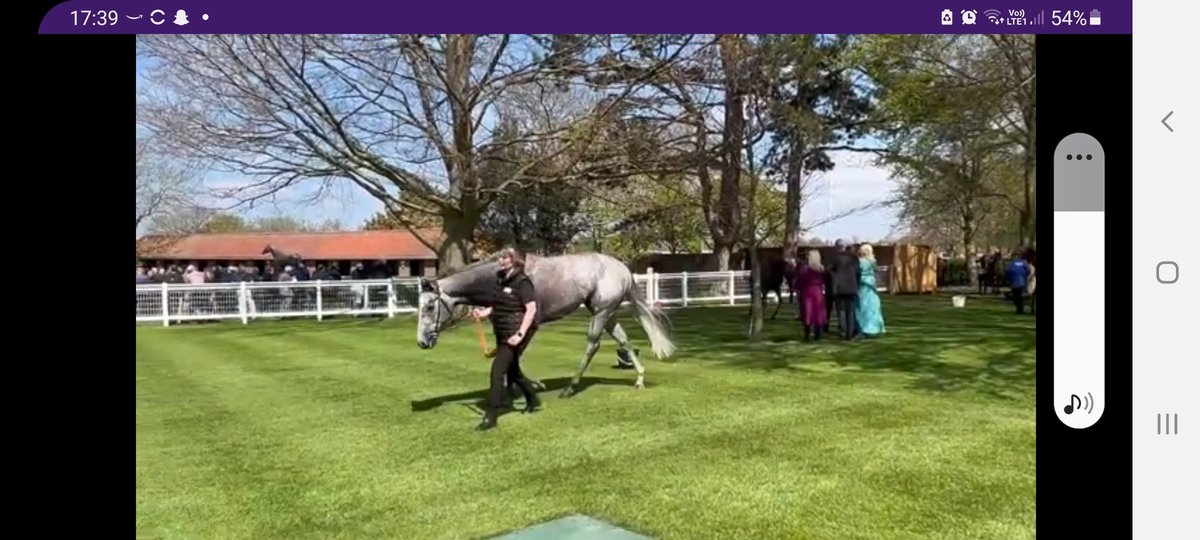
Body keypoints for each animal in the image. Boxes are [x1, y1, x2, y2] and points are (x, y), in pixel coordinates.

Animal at [415, 252, 677, 398]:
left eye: (429, 307)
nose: (421, 342)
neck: (504, 281)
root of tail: (622, 268)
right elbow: (508, 354)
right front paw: (516, 386)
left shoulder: (529, 325)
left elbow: (515, 354)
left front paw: (528, 386)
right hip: (606, 312)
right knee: (624, 341)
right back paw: (639, 379)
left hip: (602, 312)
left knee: (593, 345)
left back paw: (570, 388)